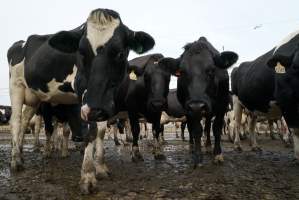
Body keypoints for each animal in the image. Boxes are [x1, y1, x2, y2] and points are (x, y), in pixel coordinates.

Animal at [8, 8, 156, 195]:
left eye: (120, 53)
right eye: (81, 52)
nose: (96, 109)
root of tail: (20, 42)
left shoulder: (102, 104)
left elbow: (100, 131)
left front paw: (100, 168)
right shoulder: (83, 97)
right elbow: (90, 130)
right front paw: (88, 177)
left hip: (35, 98)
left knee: (26, 120)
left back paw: (20, 152)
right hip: (16, 86)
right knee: (16, 122)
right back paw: (15, 161)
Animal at [159, 37, 239, 167]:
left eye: (212, 70)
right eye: (181, 72)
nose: (197, 106)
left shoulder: (221, 107)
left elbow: (216, 128)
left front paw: (217, 155)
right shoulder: (190, 110)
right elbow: (196, 130)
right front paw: (197, 157)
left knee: (208, 127)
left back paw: (208, 146)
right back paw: (192, 146)